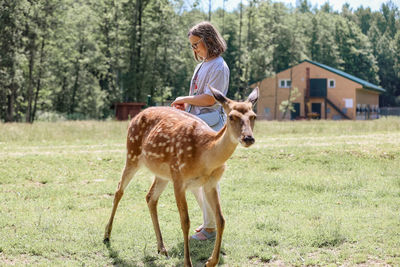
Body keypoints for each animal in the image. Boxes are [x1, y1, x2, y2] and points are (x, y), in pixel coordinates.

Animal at [104, 87, 260, 266]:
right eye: (231, 116)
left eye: (253, 116)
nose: (248, 138)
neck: (204, 156)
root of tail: (137, 115)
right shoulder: (179, 180)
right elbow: (185, 221)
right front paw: (187, 262)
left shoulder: (210, 184)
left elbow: (221, 219)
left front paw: (211, 261)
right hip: (132, 154)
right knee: (119, 190)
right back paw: (107, 236)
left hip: (163, 174)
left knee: (150, 197)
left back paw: (161, 248)